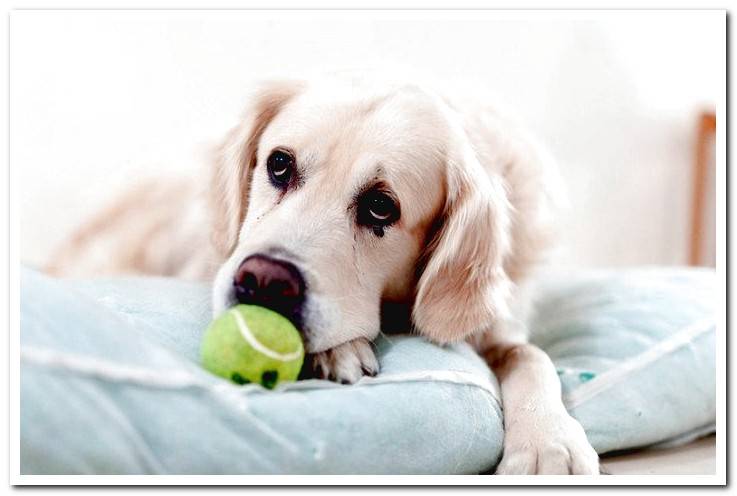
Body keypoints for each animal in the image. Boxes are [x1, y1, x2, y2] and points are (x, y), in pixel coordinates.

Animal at [44, 76, 600, 472]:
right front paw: (338, 349)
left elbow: (531, 356)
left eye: (381, 206)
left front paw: (550, 443)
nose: (264, 280)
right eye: (279, 164)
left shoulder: (498, 325)